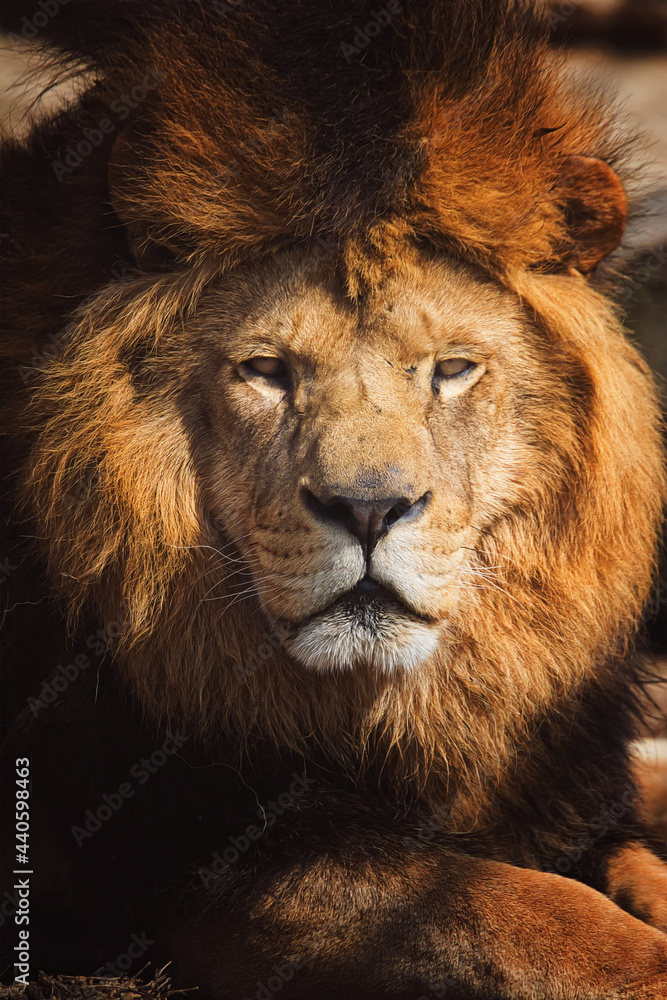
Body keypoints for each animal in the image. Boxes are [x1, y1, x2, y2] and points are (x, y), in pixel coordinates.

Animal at [1, 0, 667, 997]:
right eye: (267, 371)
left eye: (452, 369)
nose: (367, 510)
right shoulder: (208, 866)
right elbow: (521, 911)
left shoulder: (569, 786)